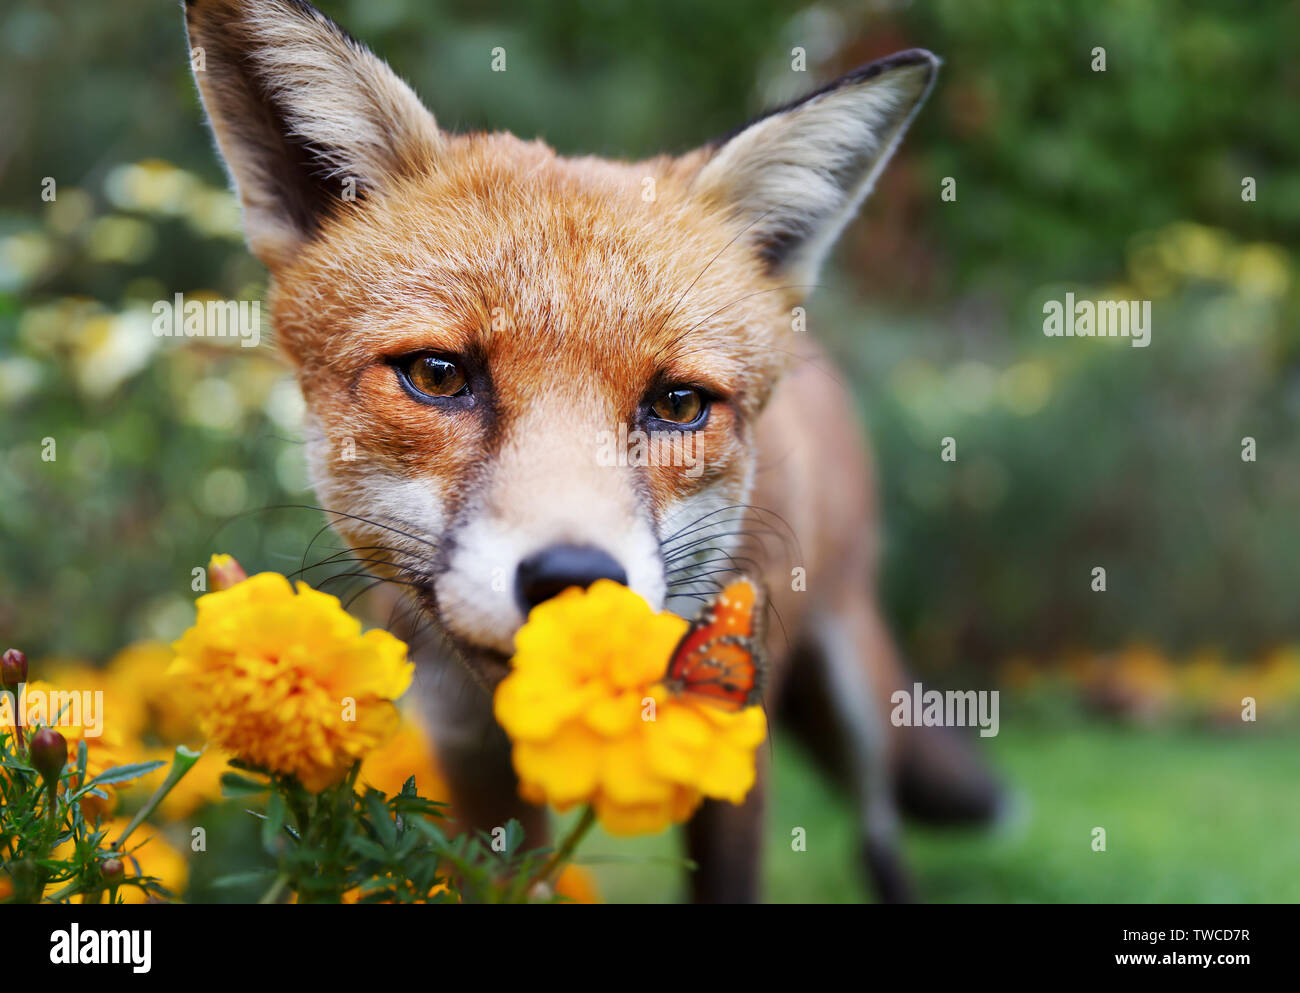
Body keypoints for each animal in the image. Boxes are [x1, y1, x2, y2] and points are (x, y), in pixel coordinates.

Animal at [183, 0, 998, 899]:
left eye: (678, 403)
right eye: (437, 375)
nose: (574, 581)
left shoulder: (731, 740)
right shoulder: (468, 760)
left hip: (851, 681)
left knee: (878, 824)